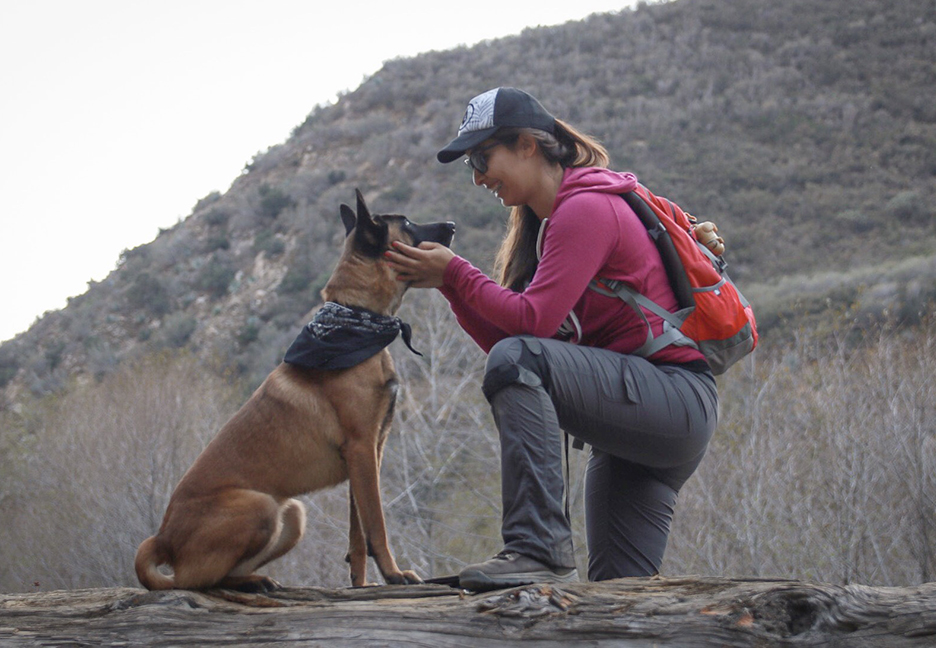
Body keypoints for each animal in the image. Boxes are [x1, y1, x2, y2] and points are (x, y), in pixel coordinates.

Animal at [135, 189, 458, 592]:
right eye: (409, 224)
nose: (452, 225)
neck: (356, 318)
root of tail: (163, 538)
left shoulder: (366, 455)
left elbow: (357, 532)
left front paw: (361, 583)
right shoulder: (363, 449)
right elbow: (376, 525)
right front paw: (394, 574)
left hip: (291, 513)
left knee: (222, 573)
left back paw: (256, 580)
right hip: (259, 506)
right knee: (196, 580)